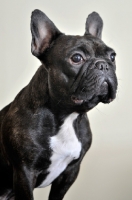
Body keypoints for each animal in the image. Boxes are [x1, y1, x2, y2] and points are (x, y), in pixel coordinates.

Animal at [0, 9, 117, 200]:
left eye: (112, 56)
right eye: (76, 58)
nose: (104, 65)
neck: (67, 116)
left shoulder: (70, 172)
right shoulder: (24, 173)